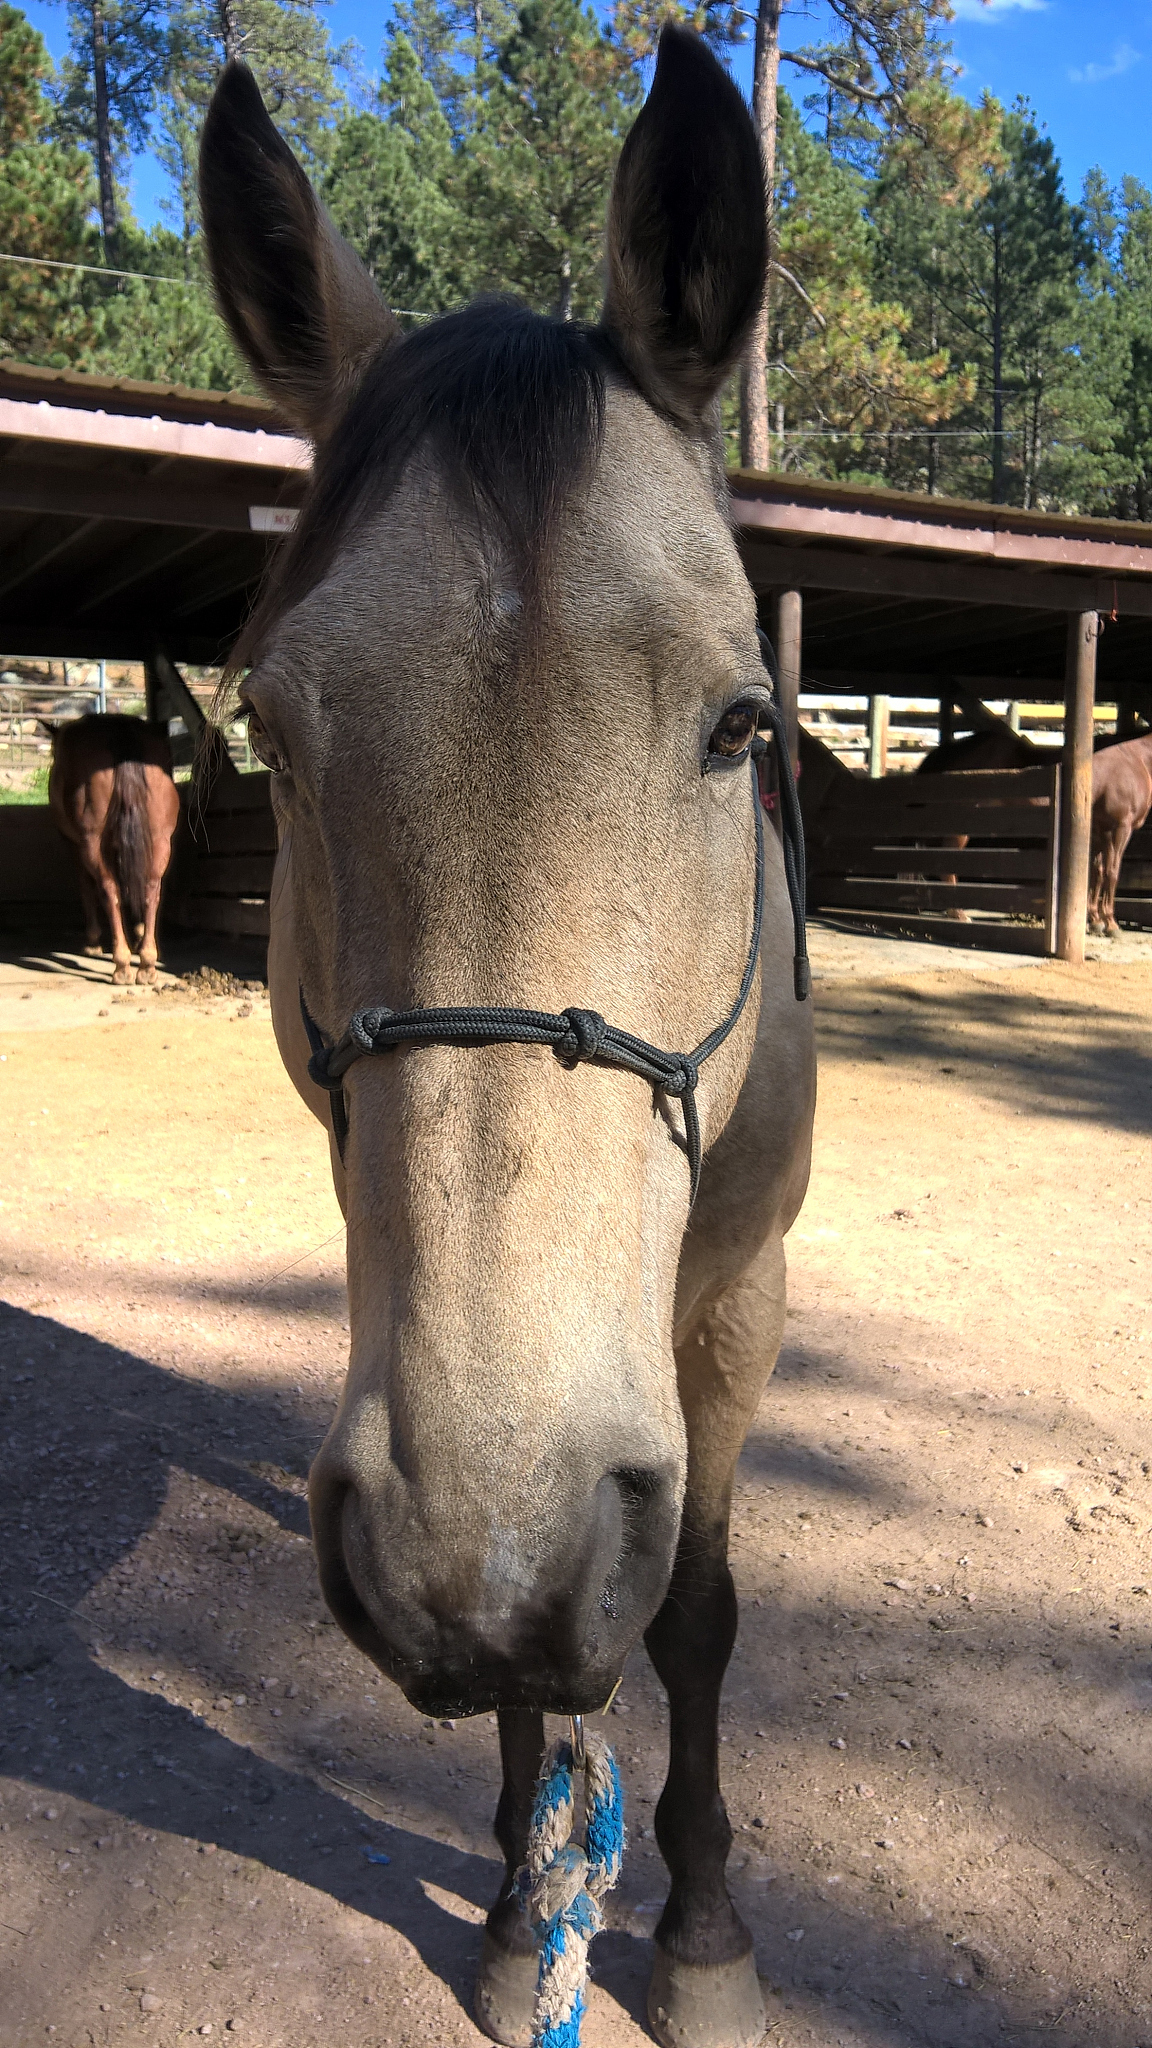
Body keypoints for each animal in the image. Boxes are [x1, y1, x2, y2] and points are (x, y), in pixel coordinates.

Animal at [48, 714, 181, 984]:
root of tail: (121, 730)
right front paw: (138, 930)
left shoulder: (73, 845)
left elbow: (86, 886)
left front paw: (92, 941)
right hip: (160, 839)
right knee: (151, 887)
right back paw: (147, 962)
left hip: (92, 842)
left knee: (109, 890)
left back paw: (122, 964)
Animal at [201, 29, 815, 2048]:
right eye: (274, 732)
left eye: (739, 725)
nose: (481, 1562)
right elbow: (553, 1670)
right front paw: (518, 1899)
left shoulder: (735, 1298)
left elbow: (689, 1607)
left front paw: (699, 1932)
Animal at [1087, 731, 1152, 935]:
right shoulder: (1120, 828)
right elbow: (1112, 871)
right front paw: (1110, 923)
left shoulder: (1099, 829)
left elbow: (1097, 870)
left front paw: (1095, 920)